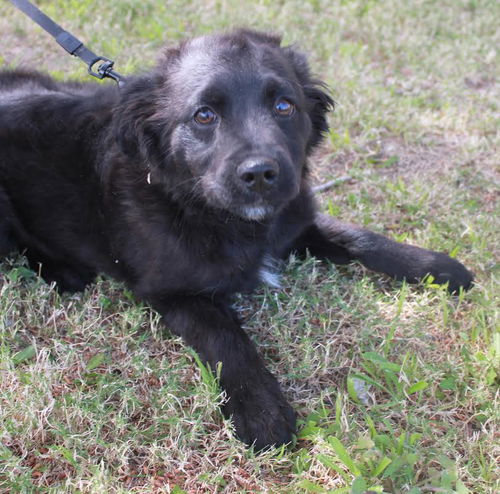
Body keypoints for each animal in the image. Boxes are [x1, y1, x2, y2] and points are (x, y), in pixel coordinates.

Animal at [0, 29, 472, 450]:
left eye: (284, 106)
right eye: (204, 115)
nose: (260, 174)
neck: (205, 209)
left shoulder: (295, 221)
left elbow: (358, 237)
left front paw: (437, 267)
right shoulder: (174, 292)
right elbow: (227, 338)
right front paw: (262, 412)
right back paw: (62, 270)